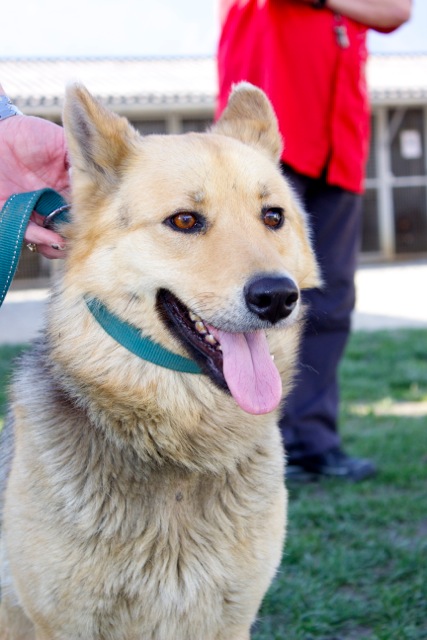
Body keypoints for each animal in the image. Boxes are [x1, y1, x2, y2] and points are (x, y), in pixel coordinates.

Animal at [0, 85, 320, 640]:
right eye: (185, 221)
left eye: (273, 217)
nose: (278, 297)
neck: (179, 443)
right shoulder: (61, 625)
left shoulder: (232, 620)